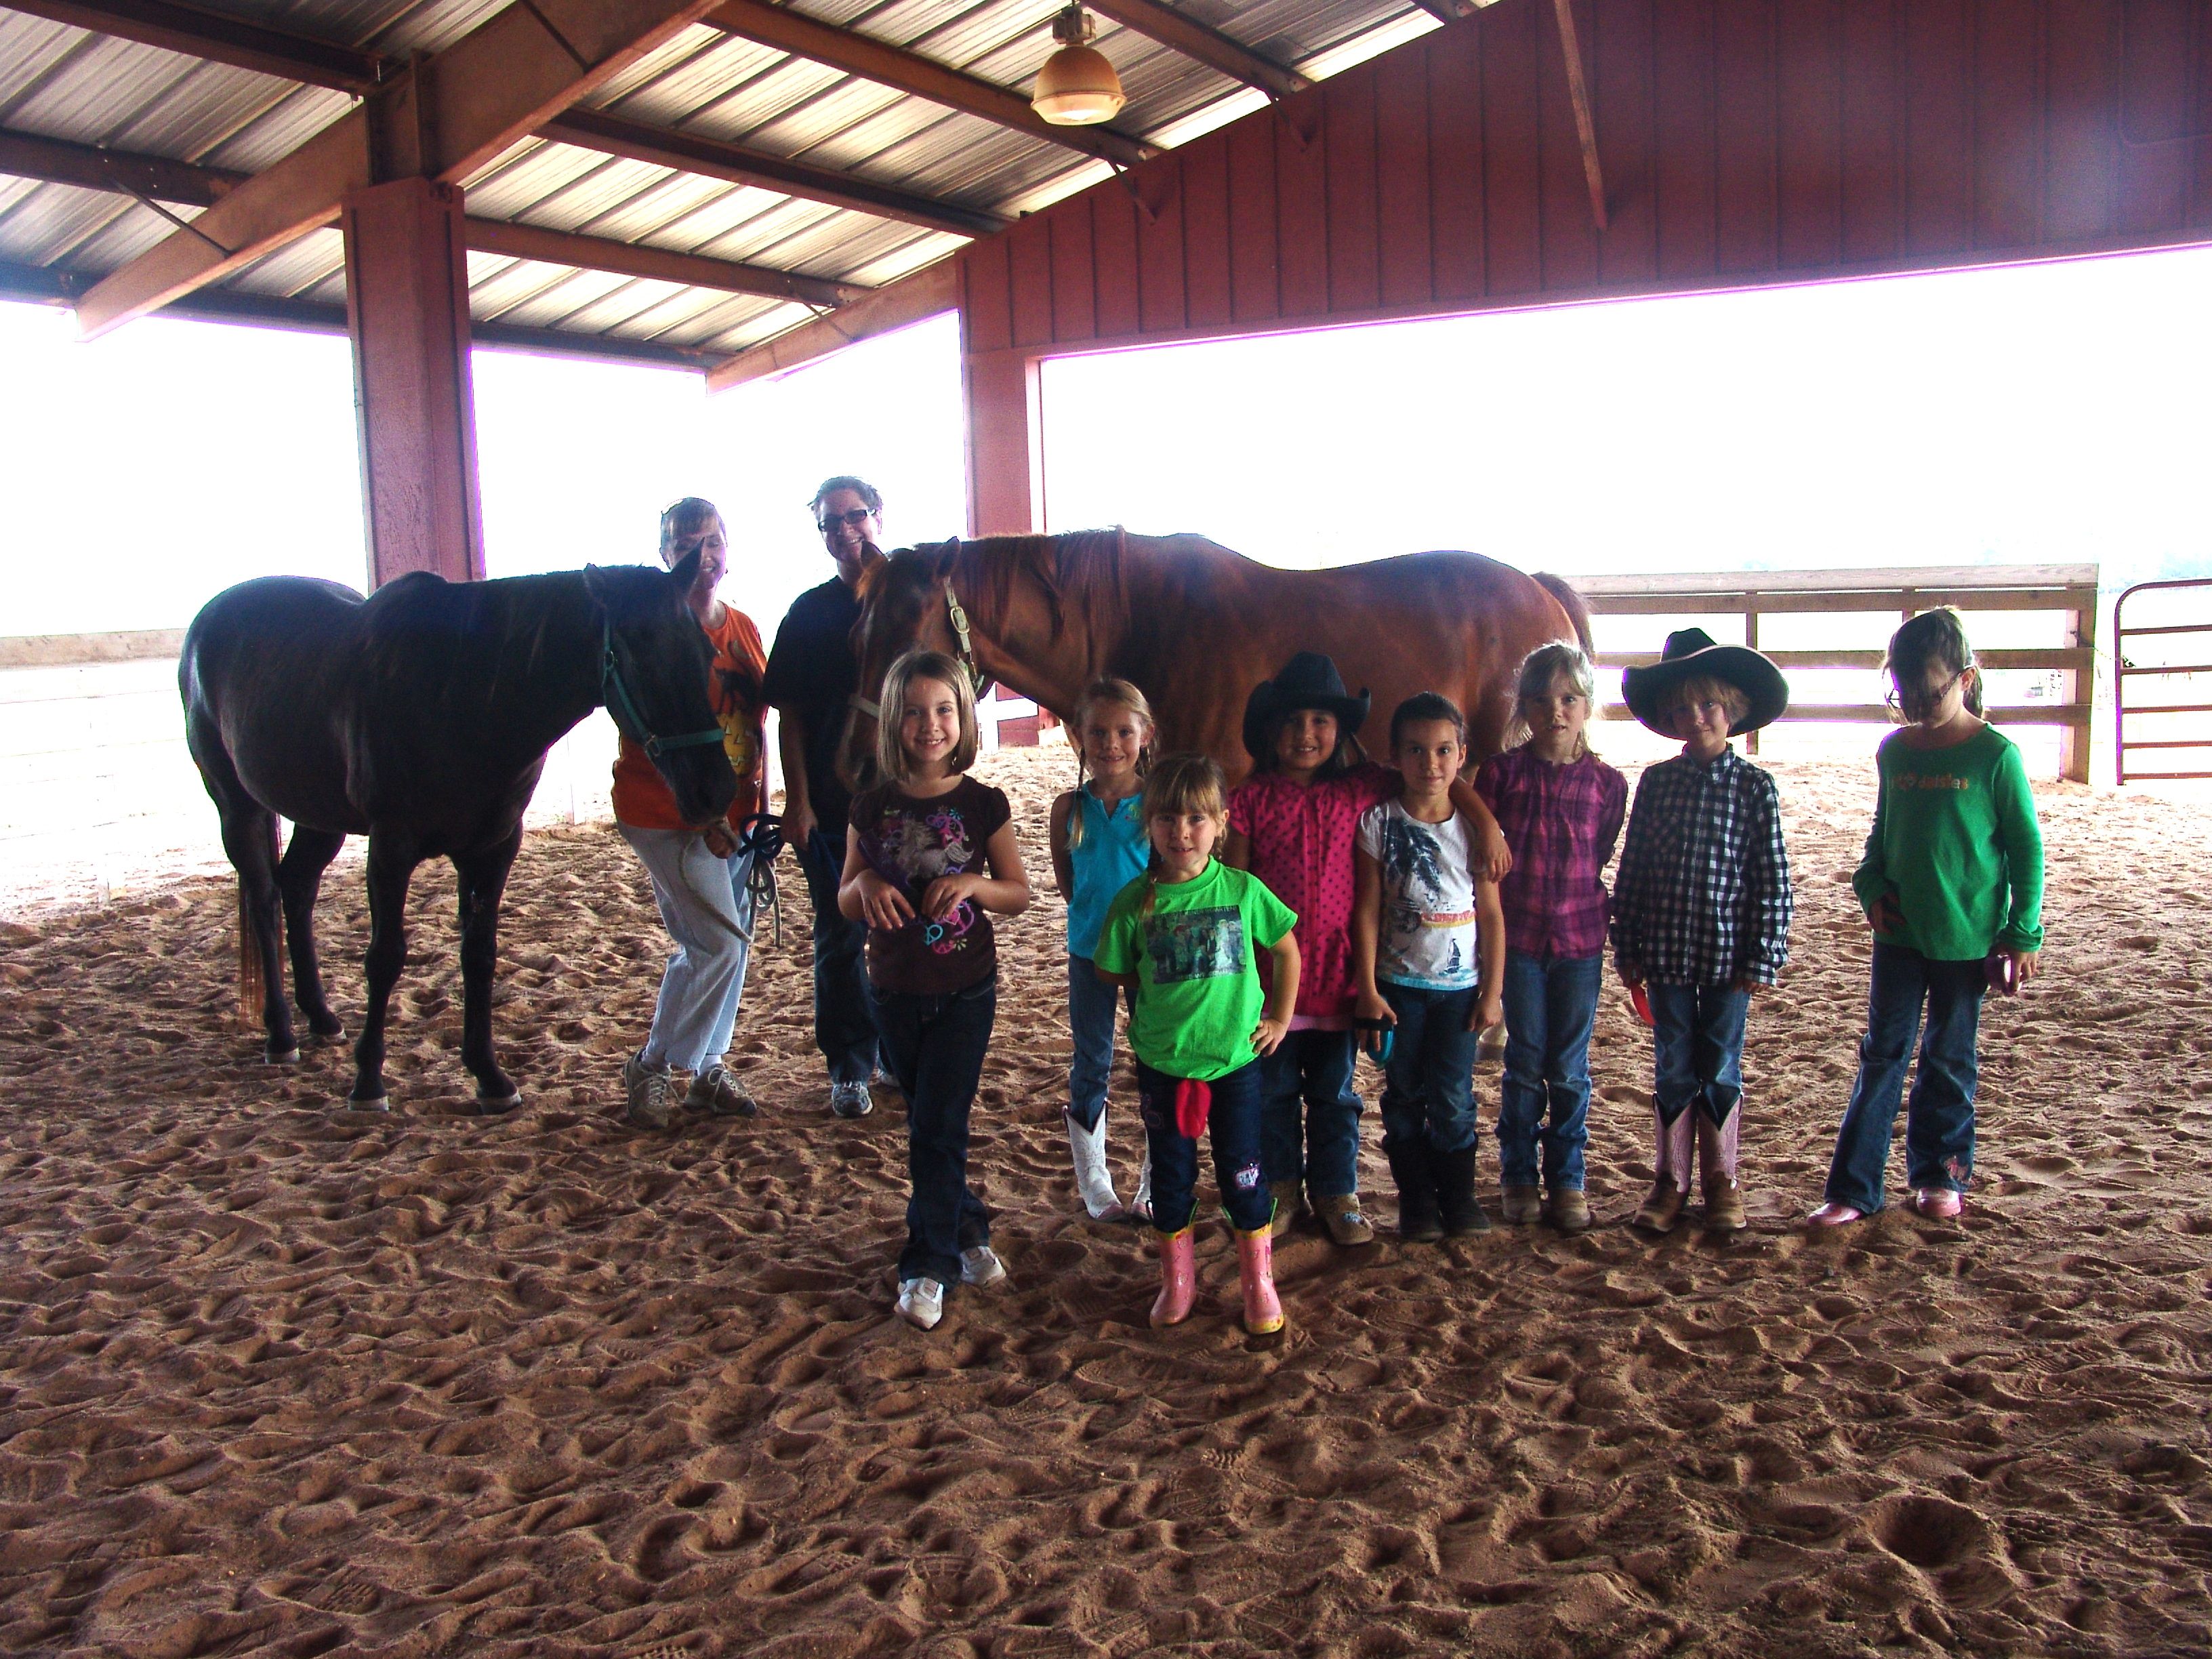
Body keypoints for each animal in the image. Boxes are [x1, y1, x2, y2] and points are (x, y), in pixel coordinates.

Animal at [180, 550, 736, 1112]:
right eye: (639, 653)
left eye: (706, 652)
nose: (715, 791)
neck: (460, 691)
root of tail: (207, 622)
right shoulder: (390, 847)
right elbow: (385, 957)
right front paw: (369, 1081)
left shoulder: (493, 848)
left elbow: (480, 955)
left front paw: (490, 1077)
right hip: (238, 809)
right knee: (265, 901)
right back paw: (280, 1034)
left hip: (318, 818)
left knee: (296, 890)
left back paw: (320, 1017)